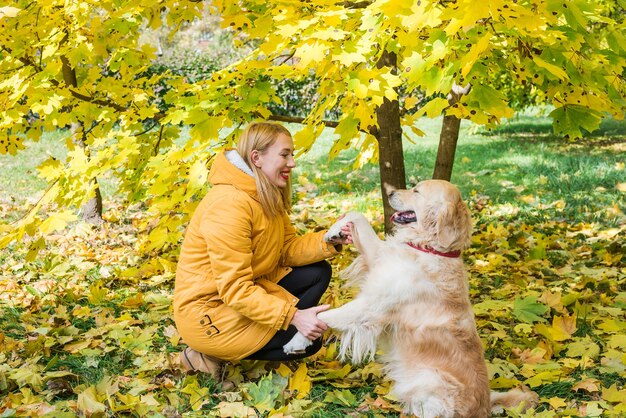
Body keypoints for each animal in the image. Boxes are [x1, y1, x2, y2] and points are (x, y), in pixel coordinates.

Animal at [282, 180, 536, 418]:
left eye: (417, 191)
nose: (390, 192)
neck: (429, 248)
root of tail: (484, 408)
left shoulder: (370, 306)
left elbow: (325, 315)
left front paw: (297, 340)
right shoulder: (378, 259)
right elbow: (358, 215)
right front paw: (335, 230)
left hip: (431, 381)